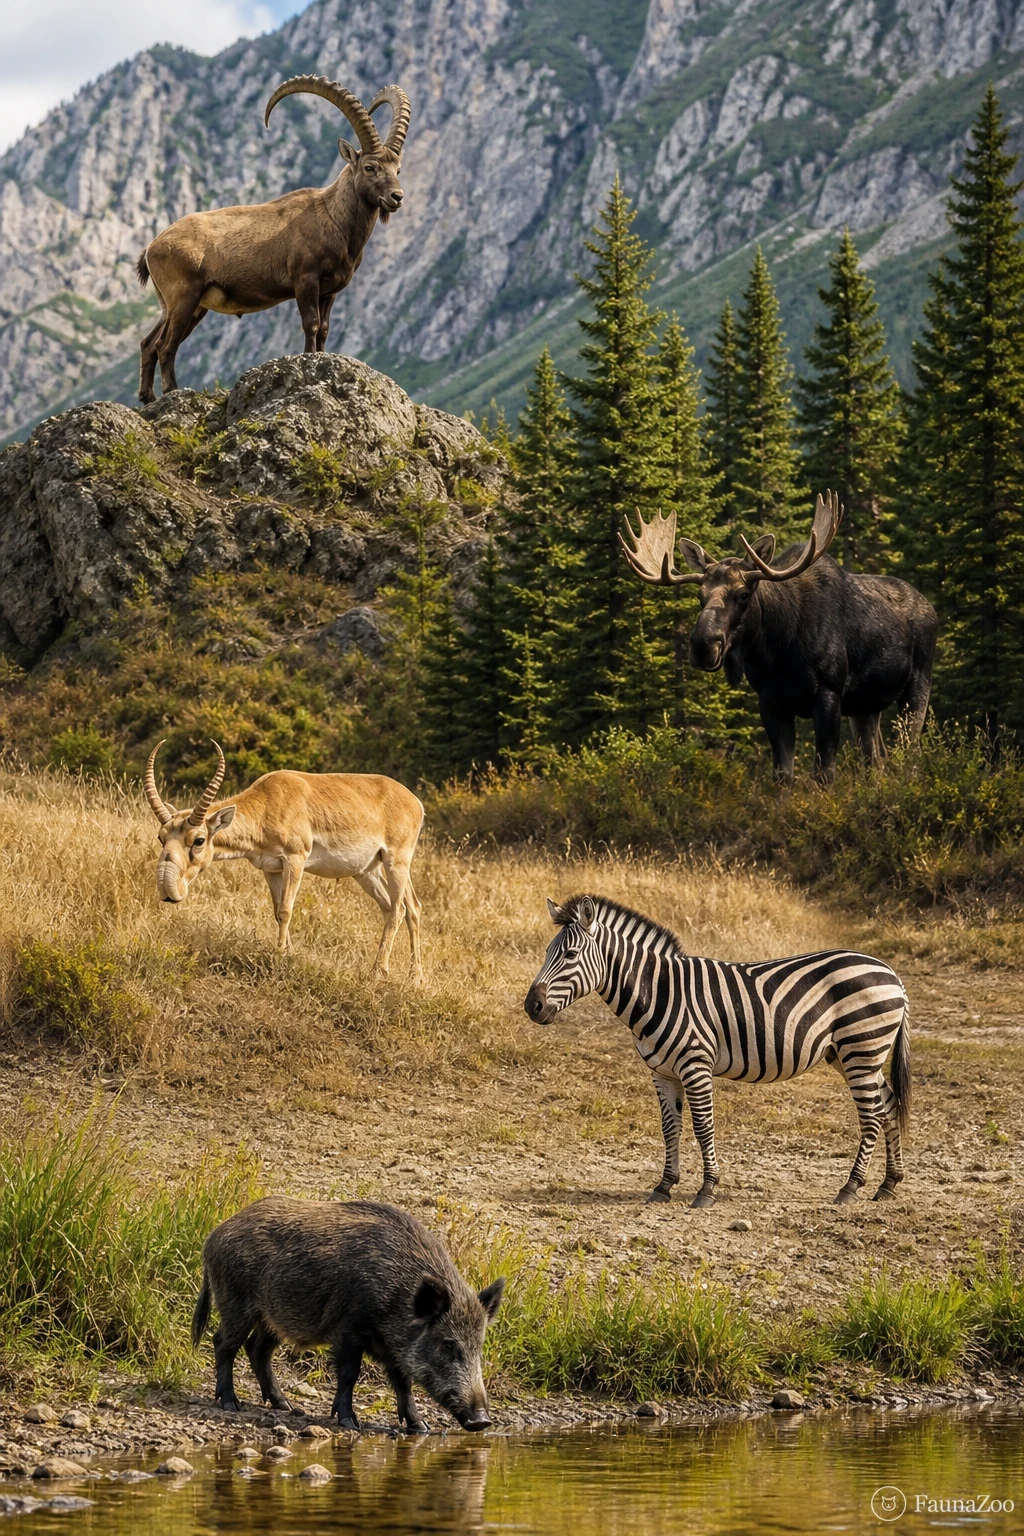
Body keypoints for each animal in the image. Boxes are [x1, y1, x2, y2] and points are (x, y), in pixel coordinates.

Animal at [136, 77, 410, 402]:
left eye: (397, 168)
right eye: (370, 167)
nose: (396, 197)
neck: (332, 218)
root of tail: (152, 247)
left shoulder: (330, 290)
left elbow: (324, 328)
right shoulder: (305, 280)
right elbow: (311, 324)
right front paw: (309, 365)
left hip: (182, 304)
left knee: (148, 342)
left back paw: (147, 397)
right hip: (184, 297)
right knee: (165, 345)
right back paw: (172, 392)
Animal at [144, 742, 423, 978]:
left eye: (199, 840)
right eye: (161, 837)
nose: (169, 892)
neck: (270, 801)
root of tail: (416, 803)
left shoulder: (295, 859)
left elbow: (286, 909)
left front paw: (279, 956)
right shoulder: (271, 869)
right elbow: (277, 910)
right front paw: (286, 952)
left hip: (396, 862)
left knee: (399, 908)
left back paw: (379, 971)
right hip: (367, 871)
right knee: (406, 906)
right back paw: (415, 977)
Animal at [620, 491, 938, 783]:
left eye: (743, 594)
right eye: (700, 596)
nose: (702, 646)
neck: (780, 653)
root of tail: (930, 606)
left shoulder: (829, 694)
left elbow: (823, 774)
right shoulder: (770, 702)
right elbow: (782, 776)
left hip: (917, 684)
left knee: (911, 751)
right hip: (865, 705)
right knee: (876, 760)